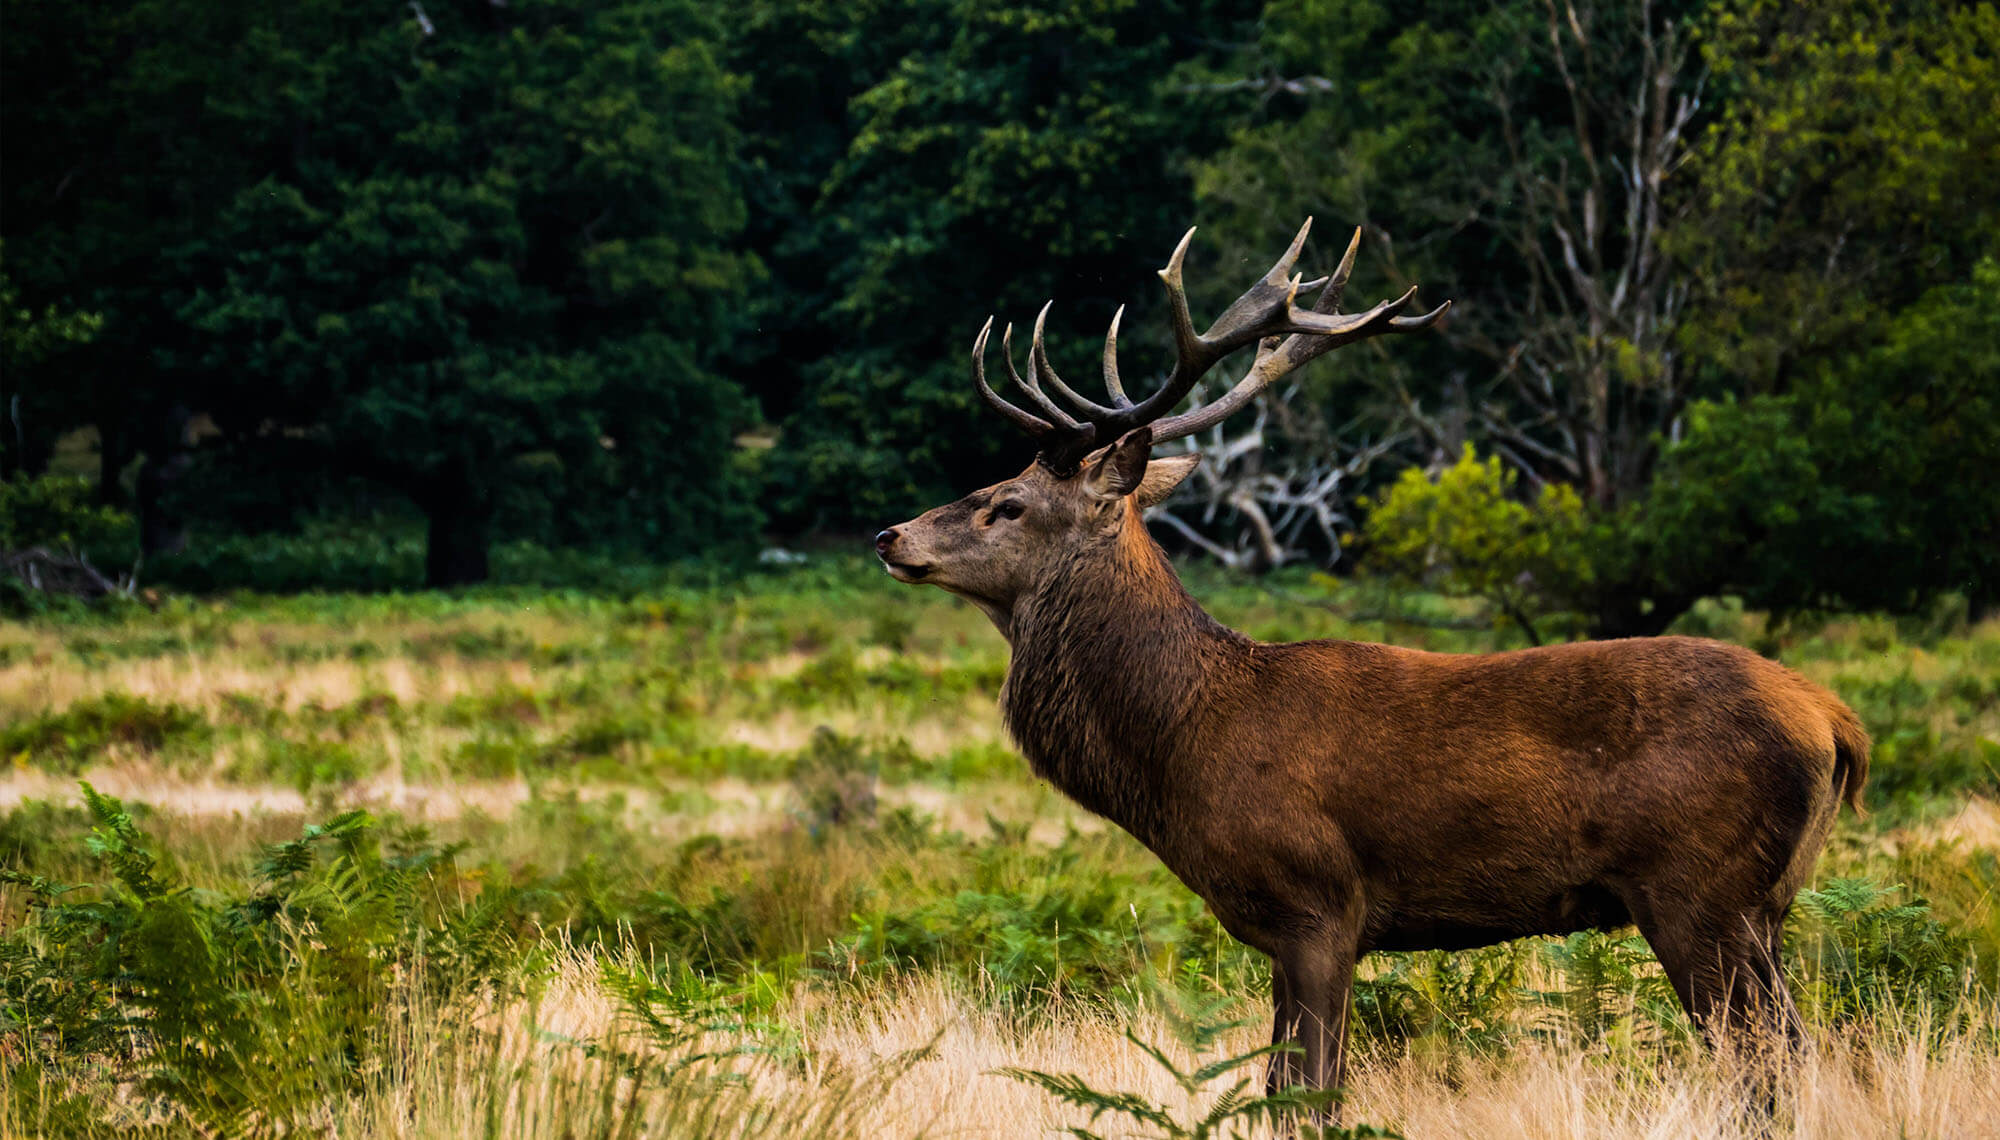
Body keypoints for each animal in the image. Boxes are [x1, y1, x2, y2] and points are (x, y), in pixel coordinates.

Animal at [876, 220, 1872, 1104]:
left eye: (1007, 502)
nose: (891, 534)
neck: (1186, 743)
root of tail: (1836, 723)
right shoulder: (1284, 929)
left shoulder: (1319, 902)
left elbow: (1307, 1092)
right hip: (1765, 905)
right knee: (1797, 1053)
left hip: (1699, 890)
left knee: (1764, 1066)